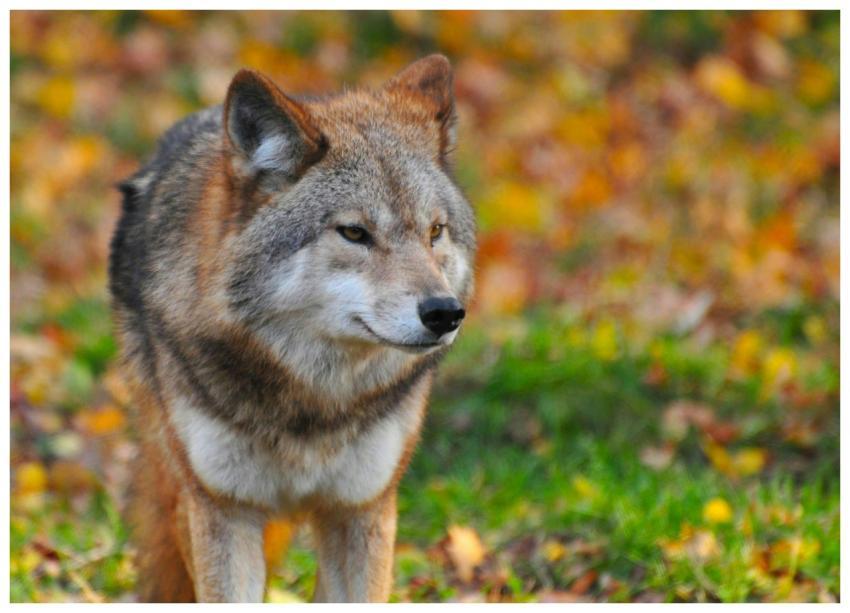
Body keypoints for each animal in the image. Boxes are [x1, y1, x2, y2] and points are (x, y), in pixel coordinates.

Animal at [107, 54, 476, 602]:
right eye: (354, 233)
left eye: (435, 232)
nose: (445, 312)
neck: (313, 403)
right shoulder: (222, 510)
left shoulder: (362, 509)